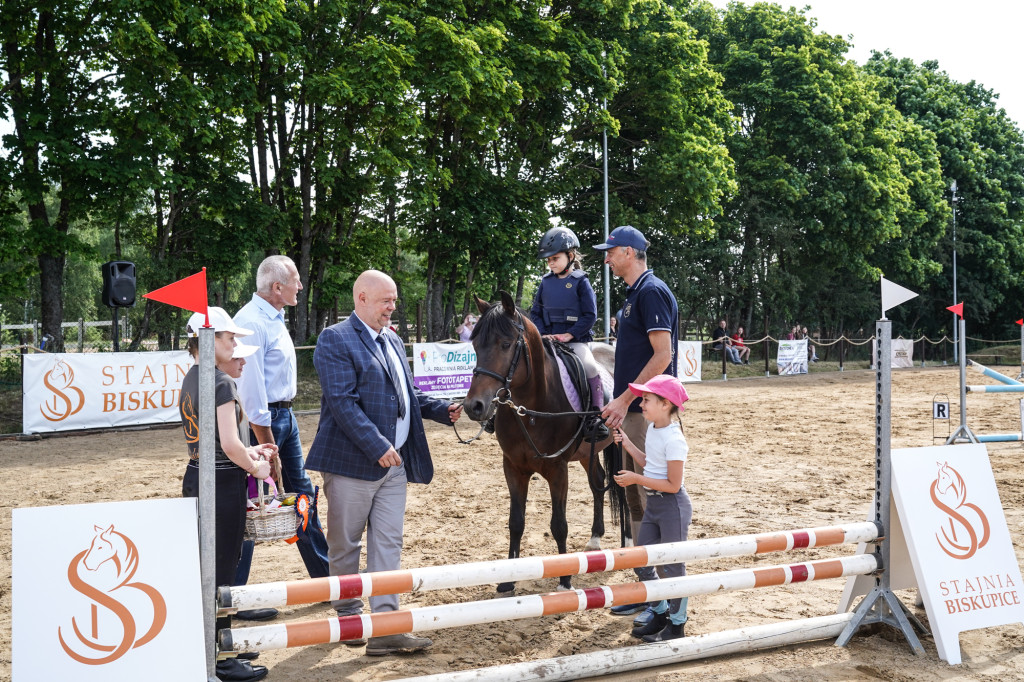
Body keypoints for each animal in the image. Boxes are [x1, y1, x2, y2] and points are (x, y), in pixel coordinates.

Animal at [466, 288, 622, 593]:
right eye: (476, 345)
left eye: (505, 344)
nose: (473, 406)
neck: (530, 409)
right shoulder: (513, 468)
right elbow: (516, 522)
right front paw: (508, 581)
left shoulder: (557, 469)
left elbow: (559, 524)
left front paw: (565, 580)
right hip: (586, 453)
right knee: (598, 483)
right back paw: (595, 538)